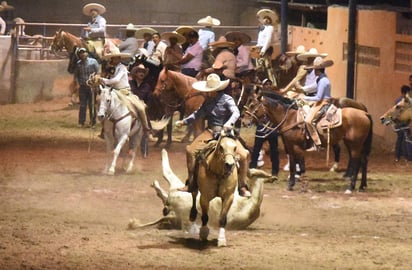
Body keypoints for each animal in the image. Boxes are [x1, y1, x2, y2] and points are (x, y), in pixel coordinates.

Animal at [243, 92, 372, 193]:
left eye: (252, 105)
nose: (244, 122)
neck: (290, 119)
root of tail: (364, 113)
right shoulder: (289, 146)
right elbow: (292, 165)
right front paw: (290, 184)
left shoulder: (297, 147)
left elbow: (301, 164)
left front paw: (303, 185)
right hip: (356, 144)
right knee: (363, 161)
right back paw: (362, 186)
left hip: (355, 145)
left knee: (356, 162)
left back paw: (350, 187)